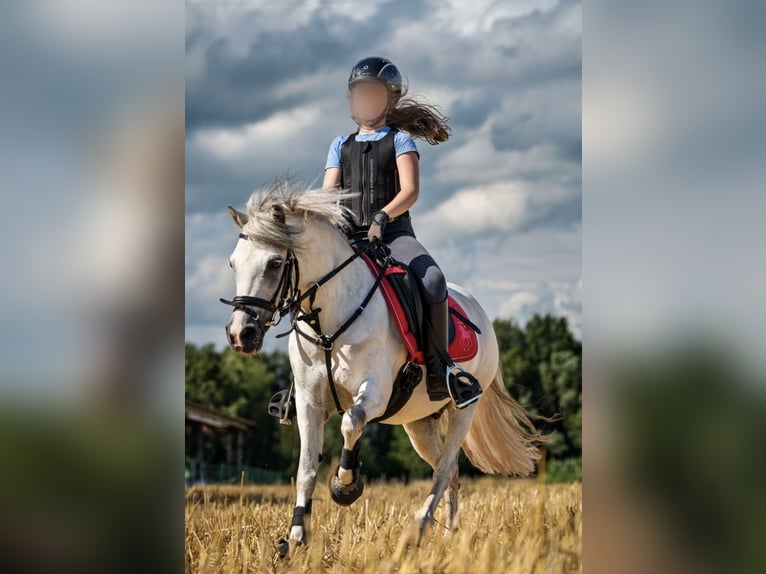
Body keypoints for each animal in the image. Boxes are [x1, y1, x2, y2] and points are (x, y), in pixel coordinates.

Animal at [222, 182, 549, 554]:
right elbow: (305, 467)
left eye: (275, 262)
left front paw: (346, 486)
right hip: (419, 422)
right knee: (449, 469)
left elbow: (351, 423)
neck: (330, 319)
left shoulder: (376, 392)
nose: (240, 334)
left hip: (464, 408)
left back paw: (417, 529)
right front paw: (295, 537)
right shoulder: (309, 402)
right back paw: (450, 538)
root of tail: (478, 309)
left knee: (445, 467)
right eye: (233, 264)